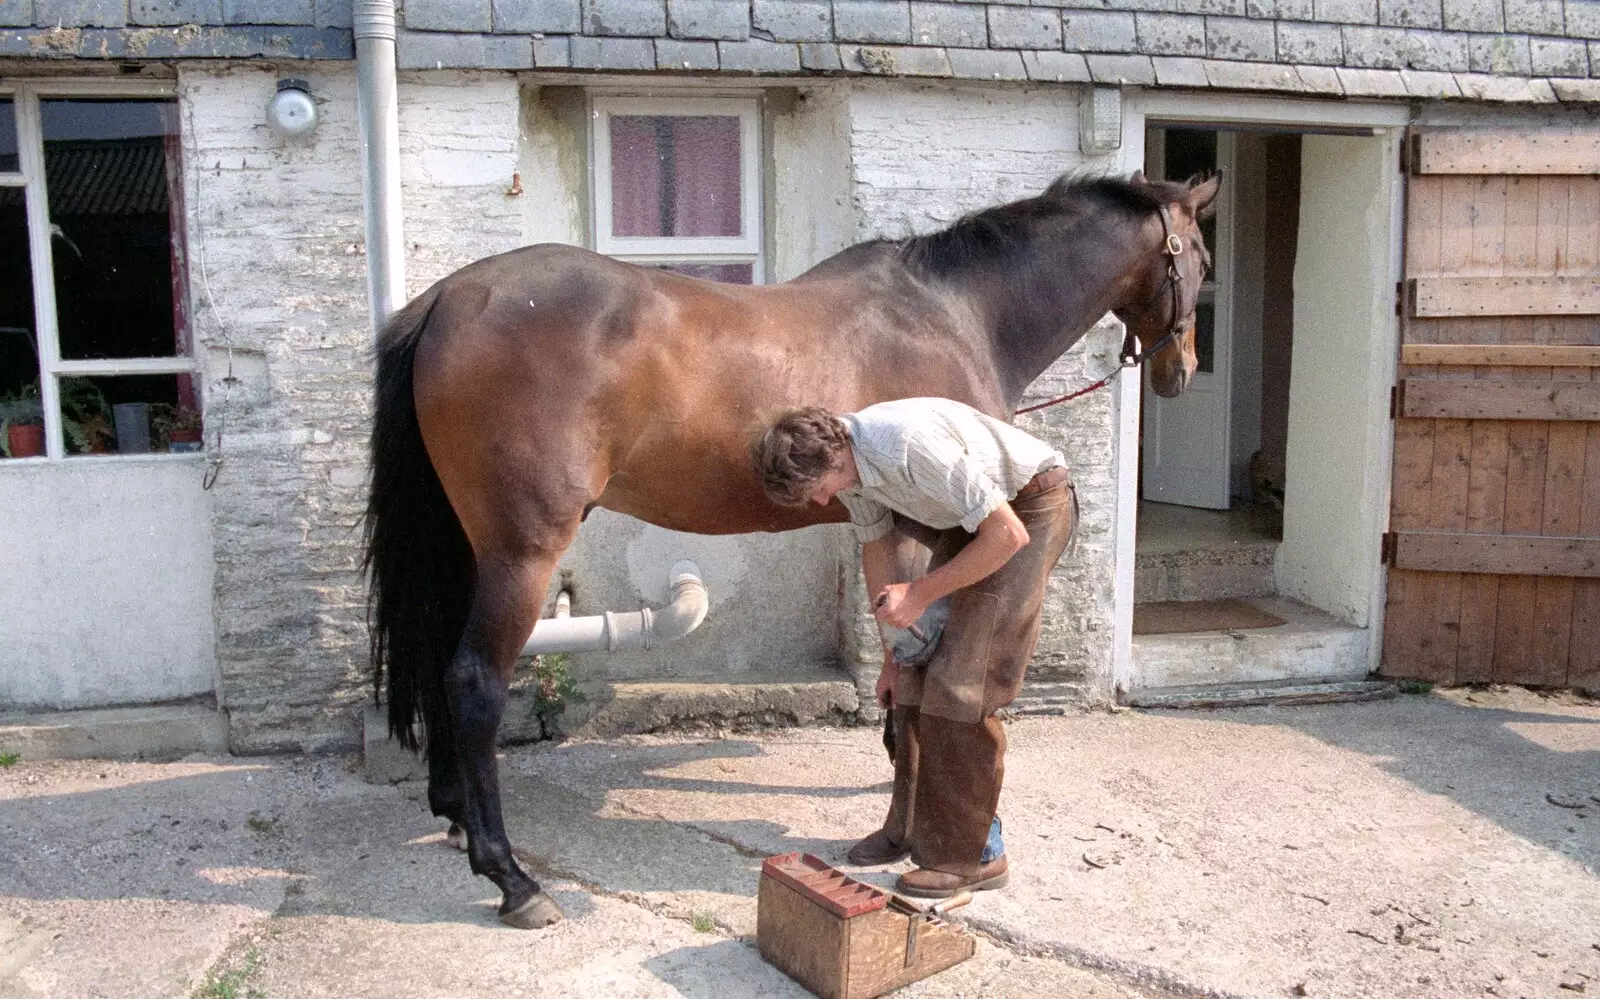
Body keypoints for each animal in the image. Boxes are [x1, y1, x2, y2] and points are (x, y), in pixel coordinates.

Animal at [360, 168, 1209, 922]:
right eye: (1200, 255)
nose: (1182, 369)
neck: (956, 311)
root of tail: (446, 299)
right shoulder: (925, 527)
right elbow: (911, 663)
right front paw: (902, 816)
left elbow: (907, 665)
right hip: (521, 553)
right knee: (474, 680)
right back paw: (513, 878)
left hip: (469, 545)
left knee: (438, 659)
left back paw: (455, 812)